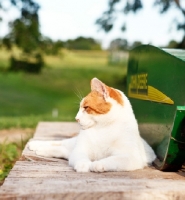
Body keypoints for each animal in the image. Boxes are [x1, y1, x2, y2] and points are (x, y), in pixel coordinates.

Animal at [28, 77, 156, 173]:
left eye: (86, 107)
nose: (76, 118)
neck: (103, 128)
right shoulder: (80, 150)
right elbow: (80, 157)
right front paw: (83, 165)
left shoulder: (131, 157)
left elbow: (112, 159)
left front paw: (98, 164)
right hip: (72, 144)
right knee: (60, 143)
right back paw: (36, 145)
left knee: (63, 150)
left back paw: (41, 150)